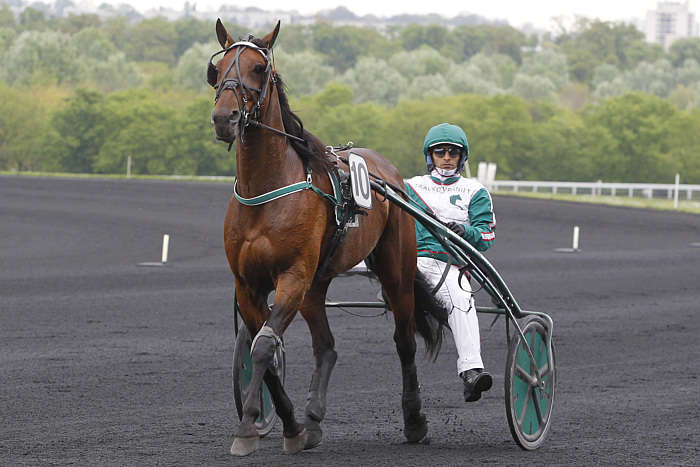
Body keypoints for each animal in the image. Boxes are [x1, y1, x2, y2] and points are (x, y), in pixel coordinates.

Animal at [208, 19, 448, 456]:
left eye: (258, 69)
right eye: (216, 70)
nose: (224, 117)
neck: (265, 191)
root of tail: (387, 170)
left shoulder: (292, 276)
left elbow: (264, 346)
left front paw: (249, 426)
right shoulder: (248, 286)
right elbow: (261, 348)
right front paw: (291, 426)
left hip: (395, 272)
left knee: (404, 341)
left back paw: (414, 420)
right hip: (316, 285)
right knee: (327, 345)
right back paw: (314, 419)